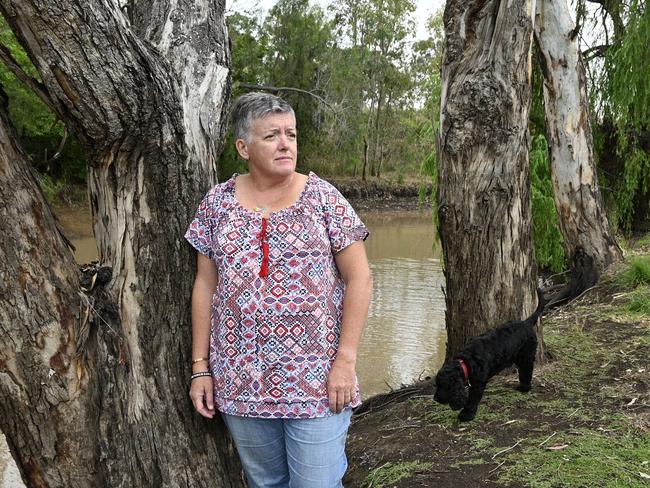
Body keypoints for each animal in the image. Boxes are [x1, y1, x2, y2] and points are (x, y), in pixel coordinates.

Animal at [432, 288, 544, 422]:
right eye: (437, 384)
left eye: (443, 385)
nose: (435, 398)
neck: (466, 361)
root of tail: (526, 322)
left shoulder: (478, 384)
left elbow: (472, 400)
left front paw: (466, 415)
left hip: (526, 355)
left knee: (527, 371)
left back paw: (525, 388)